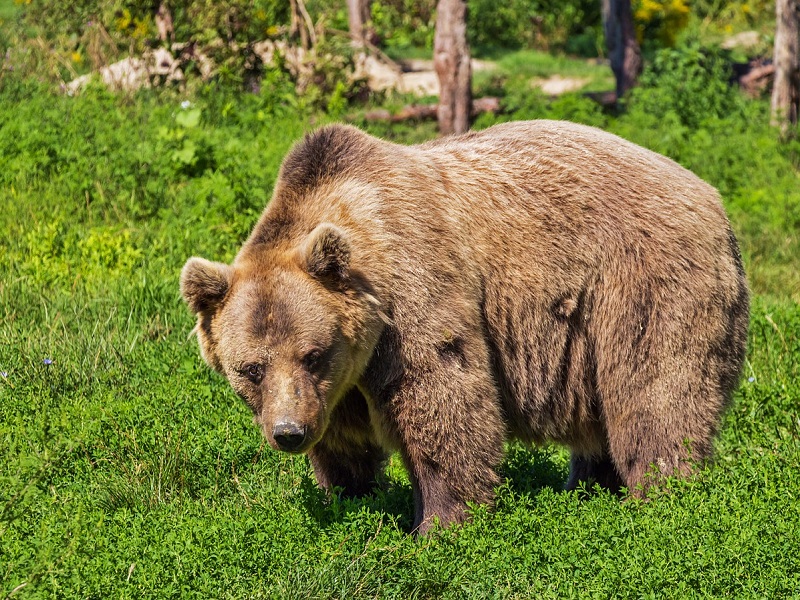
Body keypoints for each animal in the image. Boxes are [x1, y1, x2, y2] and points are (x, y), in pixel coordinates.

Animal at [180, 120, 749, 535]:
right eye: (250, 368)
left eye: (312, 353)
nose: (288, 433)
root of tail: (714, 199)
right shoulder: (337, 386)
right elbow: (344, 442)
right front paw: (347, 496)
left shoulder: (414, 292)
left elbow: (444, 400)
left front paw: (439, 525)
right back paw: (588, 488)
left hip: (642, 283)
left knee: (656, 395)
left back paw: (662, 496)